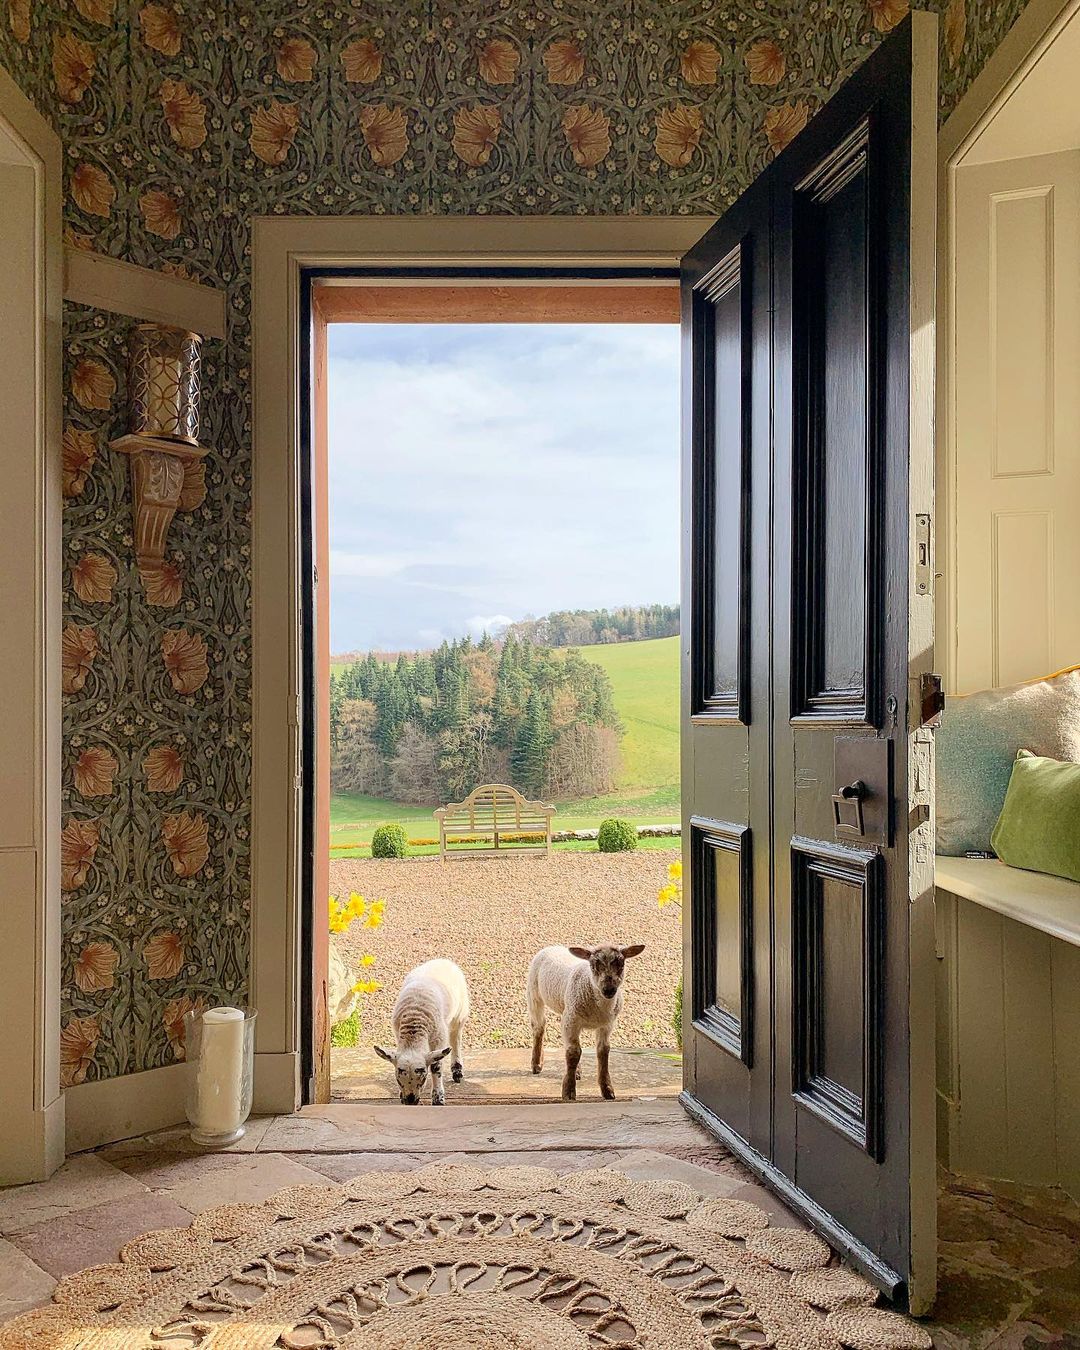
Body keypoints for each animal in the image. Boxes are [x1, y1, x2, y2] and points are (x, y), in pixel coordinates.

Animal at [375, 955, 467, 1101]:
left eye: (423, 1079)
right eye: (397, 1080)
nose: (410, 1101)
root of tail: (444, 960)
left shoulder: (439, 1037)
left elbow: (436, 1066)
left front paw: (438, 1098)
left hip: (460, 1013)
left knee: (456, 1038)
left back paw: (457, 1070)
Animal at [529, 945, 645, 1101]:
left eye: (621, 964)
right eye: (593, 966)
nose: (609, 990)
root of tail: (553, 946)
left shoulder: (606, 1025)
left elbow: (603, 1051)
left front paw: (607, 1090)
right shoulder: (572, 1020)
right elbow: (573, 1052)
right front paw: (569, 1091)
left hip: (565, 1009)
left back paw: (576, 1071)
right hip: (534, 995)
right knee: (539, 1027)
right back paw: (536, 1064)